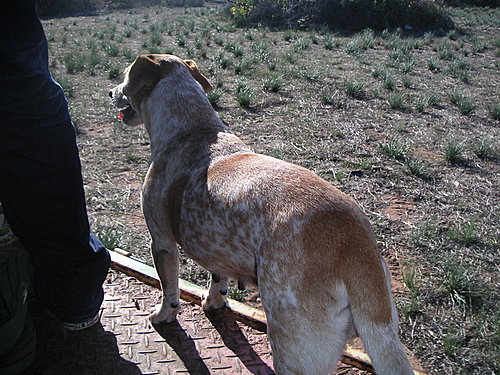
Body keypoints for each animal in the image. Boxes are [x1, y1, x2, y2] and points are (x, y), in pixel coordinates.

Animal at [110, 53, 414, 375]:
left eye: (125, 76)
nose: (109, 92)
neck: (194, 129)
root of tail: (353, 241)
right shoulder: (215, 247)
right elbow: (218, 280)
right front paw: (213, 301)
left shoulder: (162, 242)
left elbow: (170, 292)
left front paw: (162, 316)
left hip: (291, 346)